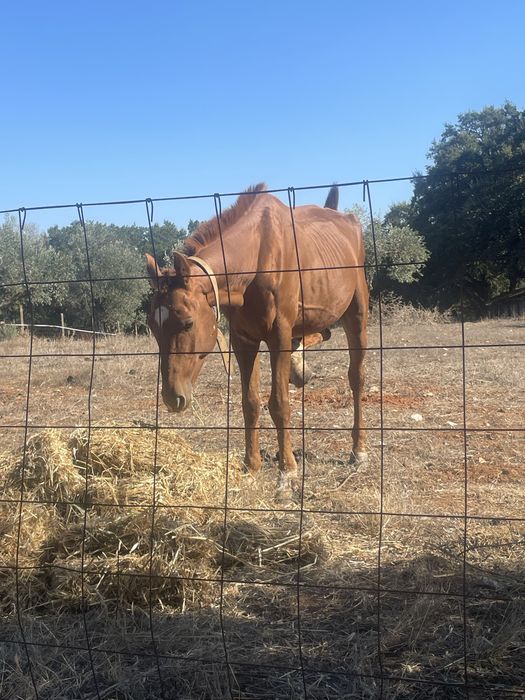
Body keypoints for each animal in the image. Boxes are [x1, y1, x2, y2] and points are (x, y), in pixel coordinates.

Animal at [146, 184, 368, 498]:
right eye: (153, 326)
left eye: (187, 322)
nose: (172, 398)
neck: (258, 255)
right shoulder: (244, 341)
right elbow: (250, 402)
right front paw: (251, 465)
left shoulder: (278, 336)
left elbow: (279, 405)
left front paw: (287, 475)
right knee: (318, 336)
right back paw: (300, 368)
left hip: (356, 315)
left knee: (356, 378)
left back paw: (358, 451)